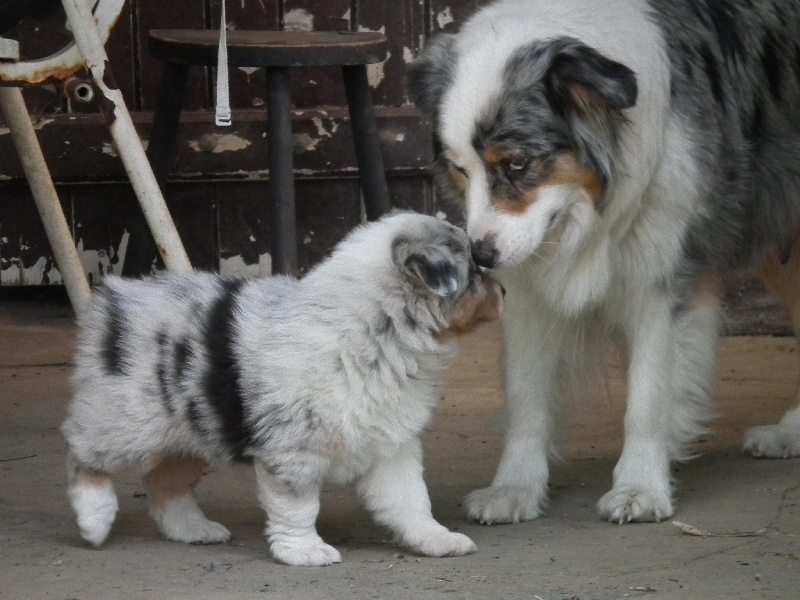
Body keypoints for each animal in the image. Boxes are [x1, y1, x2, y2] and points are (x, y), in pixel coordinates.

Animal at [410, 0, 800, 524]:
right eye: (459, 169)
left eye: (516, 165)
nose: (482, 257)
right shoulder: (526, 286)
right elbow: (526, 395)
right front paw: (514, 487)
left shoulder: (662, 278)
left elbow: (648, 397)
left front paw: (640, 487)